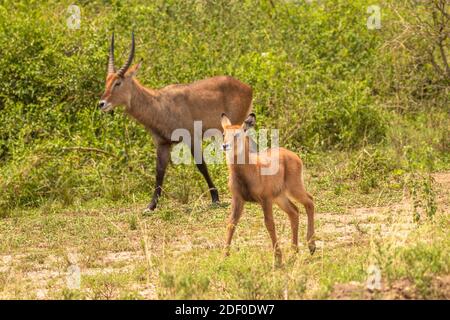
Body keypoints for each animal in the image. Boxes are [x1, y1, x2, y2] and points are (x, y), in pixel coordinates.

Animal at [99, 33, 253, 211]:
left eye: (118, 82)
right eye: (106, 81)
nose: (101, 103)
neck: (160, 105)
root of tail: (248, 87)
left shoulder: (192, 138)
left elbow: (201, 165)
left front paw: (215, 198)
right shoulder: (163, 144)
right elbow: (159, 171)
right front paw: (151, 206)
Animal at [221, 114, 316, 264]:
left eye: (237, 134)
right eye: (224, 133)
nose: (225, 146)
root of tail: (294, 155)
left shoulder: (265, 200)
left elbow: (269, 224)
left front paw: (277, 258)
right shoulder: (238, 199)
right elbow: (231, 223)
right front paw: (224, 257)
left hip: (294, 189)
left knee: (310, 202)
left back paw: (311, 246)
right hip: (280, 197)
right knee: (294, 212)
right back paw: (294, 252)